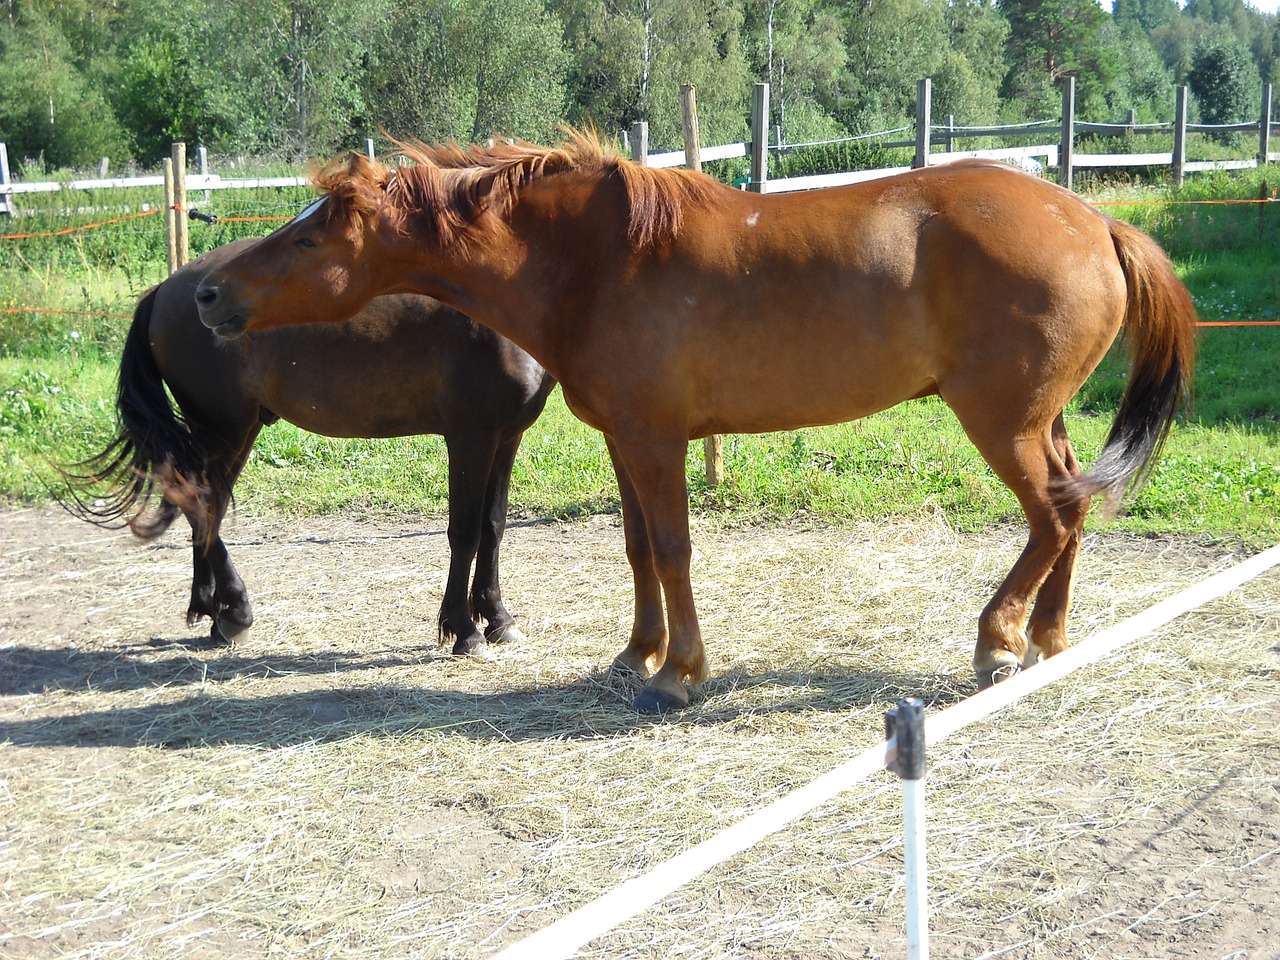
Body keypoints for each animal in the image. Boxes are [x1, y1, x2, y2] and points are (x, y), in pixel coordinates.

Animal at [63, 238, 555, 660]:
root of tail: (168, 289)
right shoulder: (471, 436)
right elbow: (465, 532)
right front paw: (465, 629)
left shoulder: (506, 437)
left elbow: (493, 527)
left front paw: (497, 618)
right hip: (222, 428)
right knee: (200, 503)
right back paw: (235, 610)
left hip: (237, 432)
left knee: (207, 503)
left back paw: (216, 612)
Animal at [192, 138, 1198, 716]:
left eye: (311, 237)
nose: (206, 294)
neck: (596, 260)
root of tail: (1094, 219)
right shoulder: (623, 438)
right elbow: (638, 549)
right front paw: (635, 655)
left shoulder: (656, 438)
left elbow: (674, 549)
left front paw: (680, 672)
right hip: (1041, 419)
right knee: (1072, 507)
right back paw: (1049, 639)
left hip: (1000, 420)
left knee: (1052, 515)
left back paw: (997, 641)